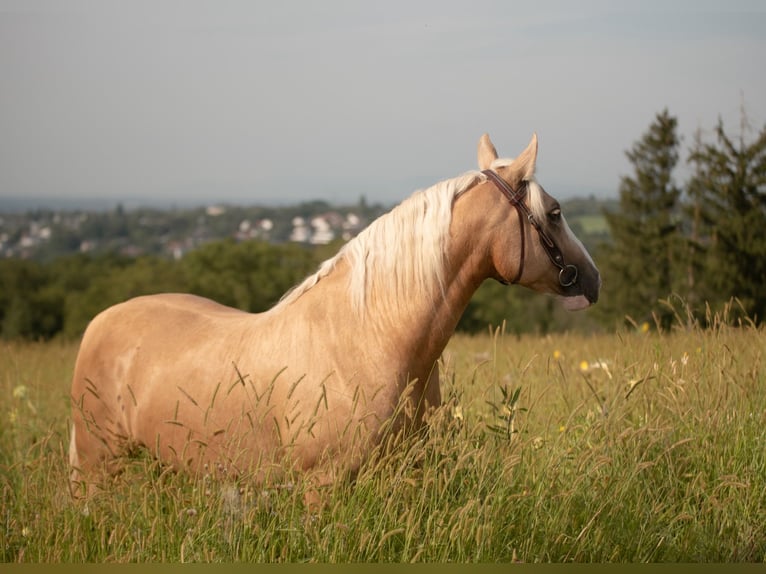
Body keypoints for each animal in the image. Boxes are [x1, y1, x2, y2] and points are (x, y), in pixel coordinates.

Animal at [69, 135, 604, 504]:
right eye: (555, 212)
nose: (593, 278)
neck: (370, 339)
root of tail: (99, 322)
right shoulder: (321, 488)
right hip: (101, 469)